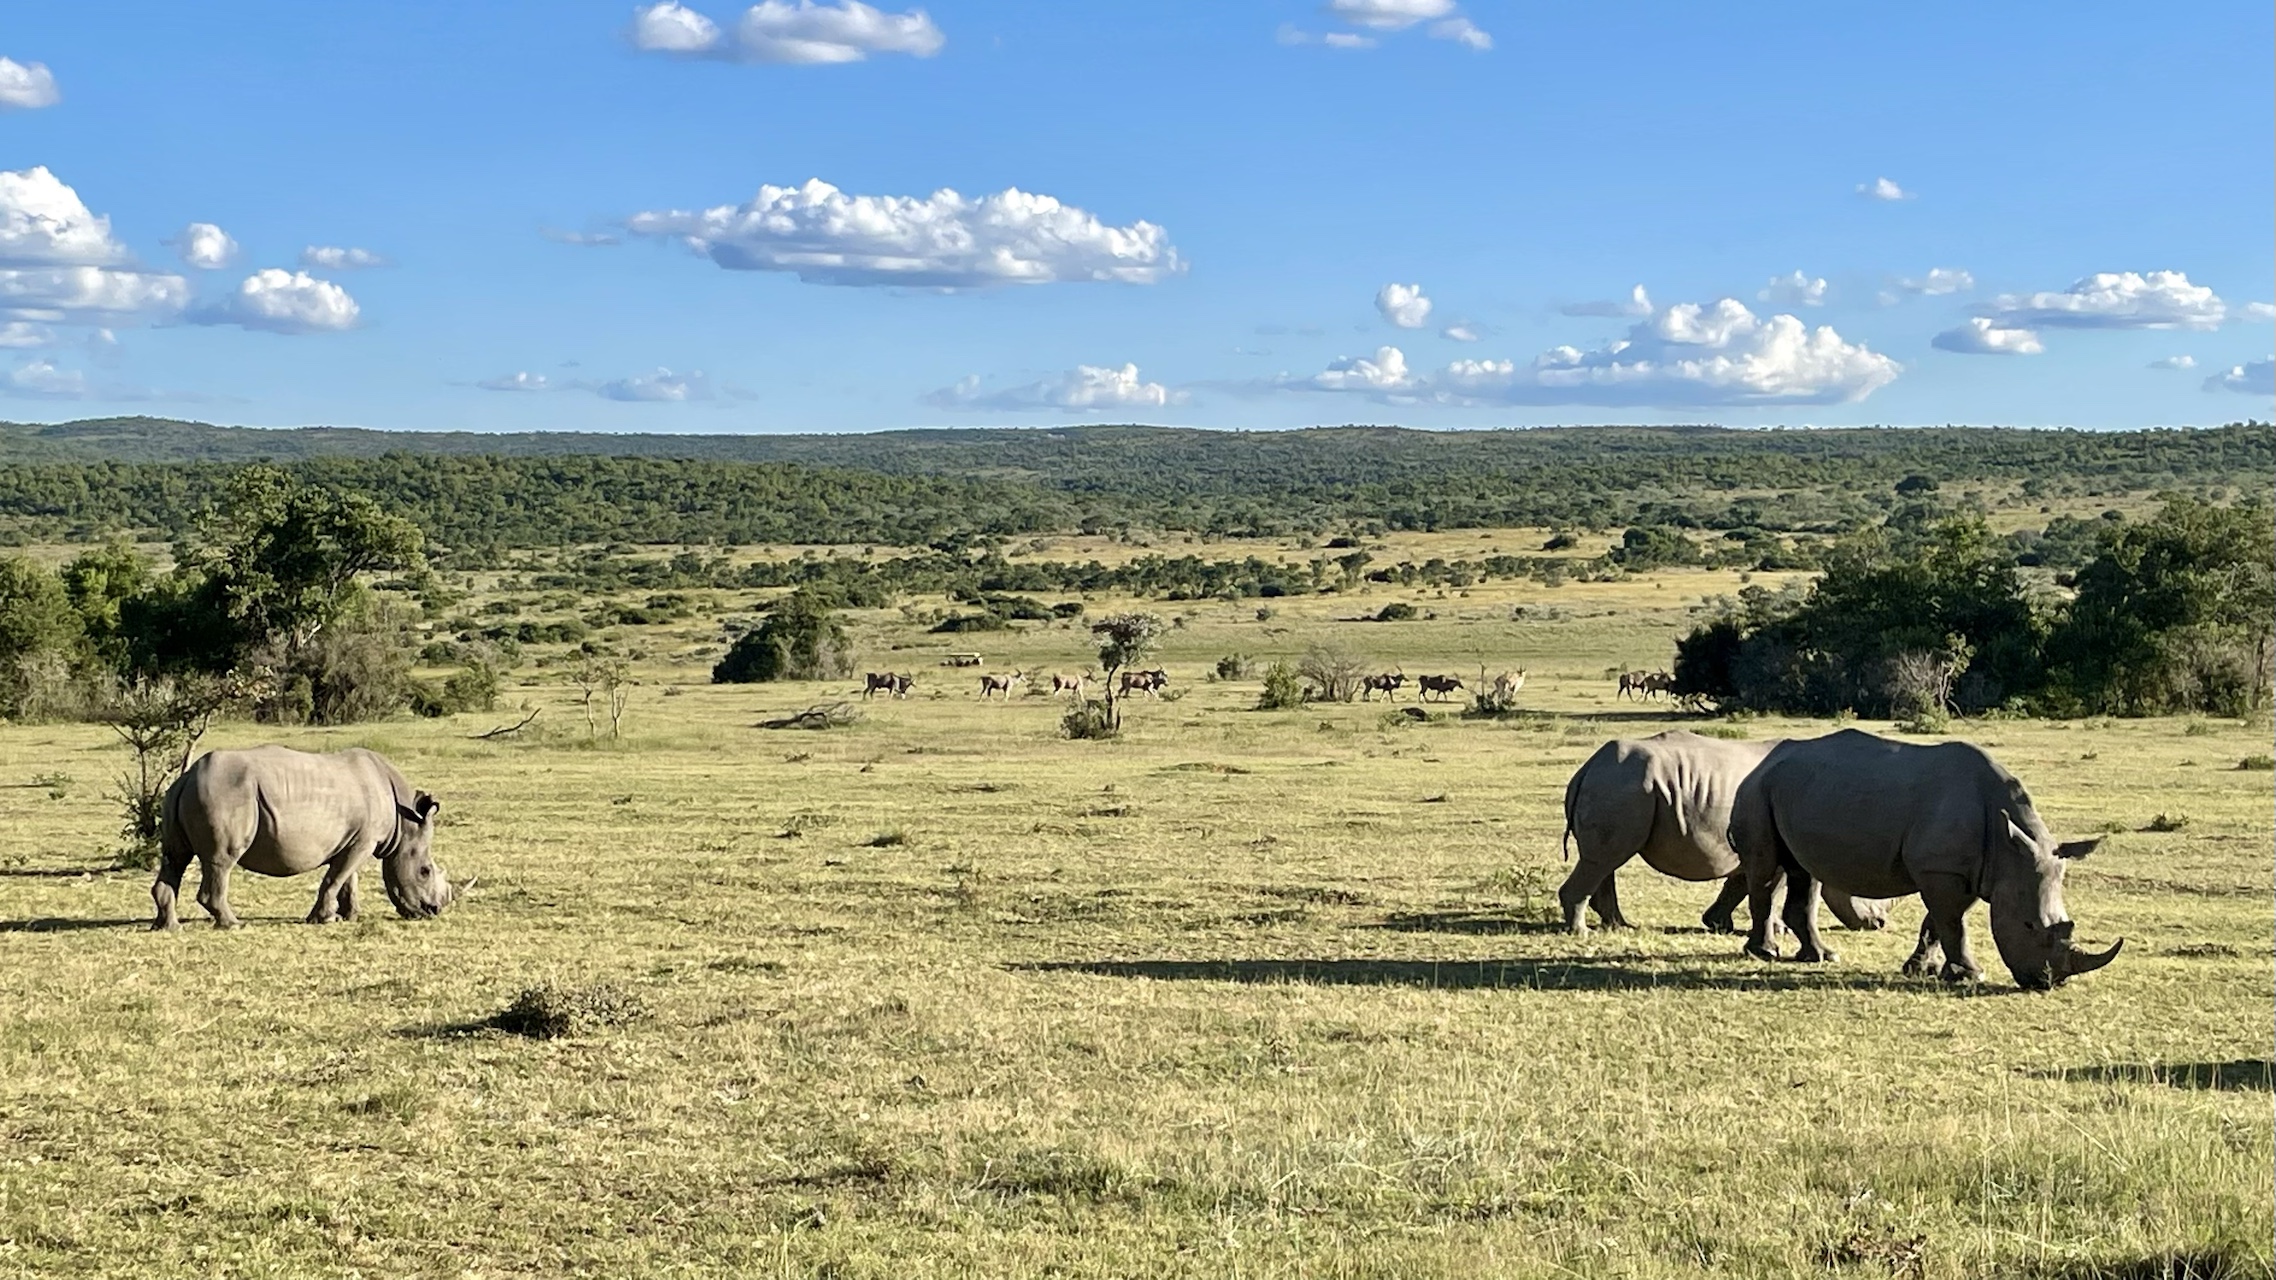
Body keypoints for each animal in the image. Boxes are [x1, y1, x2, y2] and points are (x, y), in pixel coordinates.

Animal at [152, 746, 458, 930]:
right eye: (424, 871)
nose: (433, 911)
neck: (404, 823)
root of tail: (187, 776)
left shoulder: (355, 839)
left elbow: (347, 879)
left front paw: (349, 916)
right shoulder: (364, 841)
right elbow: (336, 878)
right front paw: (324, 919)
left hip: (185, 794)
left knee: (175, 858)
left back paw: (169, 927)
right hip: (223, 793)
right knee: (221, 861)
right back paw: (233, 924)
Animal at [1559, 731, 1888, 935]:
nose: (1879, 923)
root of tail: (1588, 767)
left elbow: (1740, 884)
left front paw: (1718, 924)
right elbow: (1774, 887)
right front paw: (1778, 930)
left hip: (1619, 785)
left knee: (1605, 860)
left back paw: (1619, 926)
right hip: (1621, 785)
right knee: (1604, 859)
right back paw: (1581, 931)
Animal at [1732, 729, 2120, 989]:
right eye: (2028, 926)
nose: (2048, 982)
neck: (2007, 842)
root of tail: (1762, 763)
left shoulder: (1963, 871)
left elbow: (1938, 921)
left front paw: (1921, 969)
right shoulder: (1942, 870)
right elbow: (1952, 923)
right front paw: (1970, 975)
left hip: (1798, 790)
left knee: (1803, 872)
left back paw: (1822, 956)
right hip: (1757, 791)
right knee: (1766, 870)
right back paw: (1765, 954)